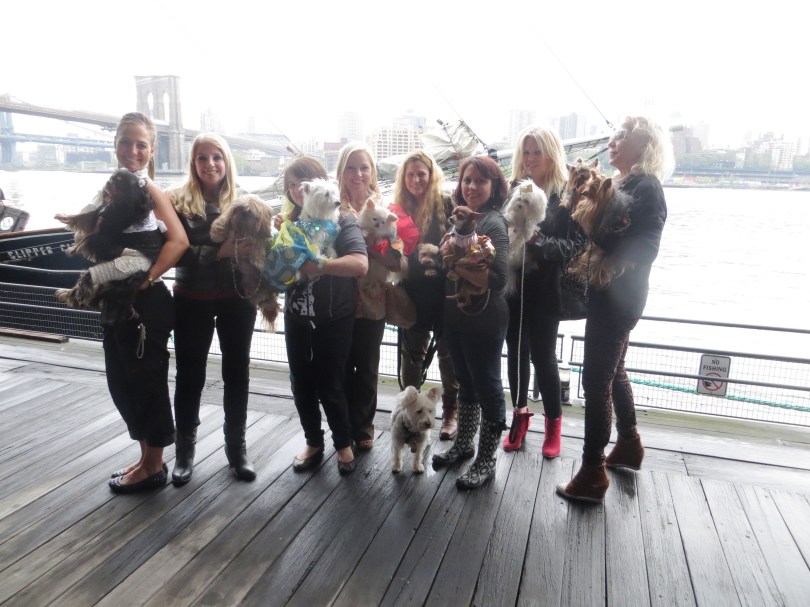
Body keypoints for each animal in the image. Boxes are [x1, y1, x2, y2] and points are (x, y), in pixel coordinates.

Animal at [209, 193, 280, 327]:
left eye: (250, 212)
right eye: (238, 209)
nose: (243, 214)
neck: (244, 231)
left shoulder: (258, 238)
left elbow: (258, 245)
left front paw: (258, 260)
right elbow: (224, 223)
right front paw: (217, 232)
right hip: (249, 284)